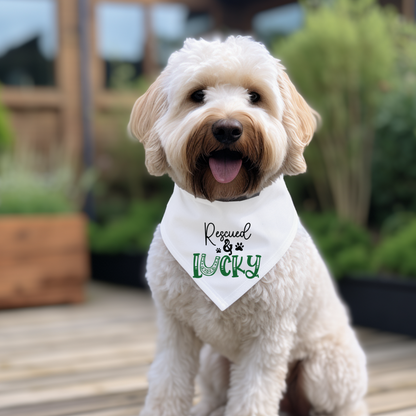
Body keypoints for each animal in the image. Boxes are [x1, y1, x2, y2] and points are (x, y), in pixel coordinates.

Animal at [127, 35, 368, 416]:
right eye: (198, 95)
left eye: (255, 96)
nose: (228, 128)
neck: (227, 208)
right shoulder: (174, 328)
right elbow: (167, 384)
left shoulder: (268, 337)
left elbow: (252, 397)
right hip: (214, 361)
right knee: (217, 396)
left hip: (325, 369)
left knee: (342, 404)